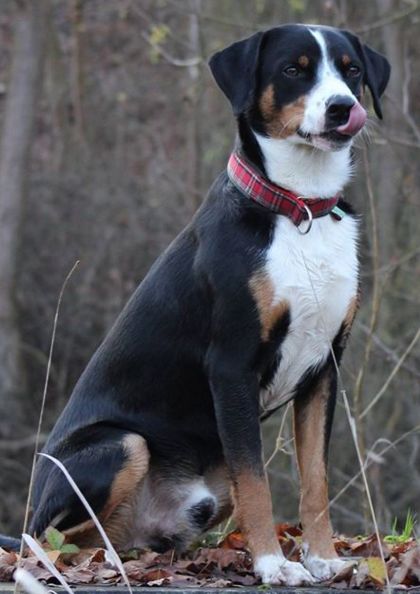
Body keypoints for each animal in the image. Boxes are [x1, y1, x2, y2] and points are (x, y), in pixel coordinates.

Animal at [25, 23, 390, 584]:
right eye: (294, 69)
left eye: (351, 71)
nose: (341, 108)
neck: (299, 207)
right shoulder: (232, 365)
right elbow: (257, 483)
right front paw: (274, 565)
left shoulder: (323, 370)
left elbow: (315, 480)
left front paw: (324, 558)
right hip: (121, 444)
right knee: (52, 537)